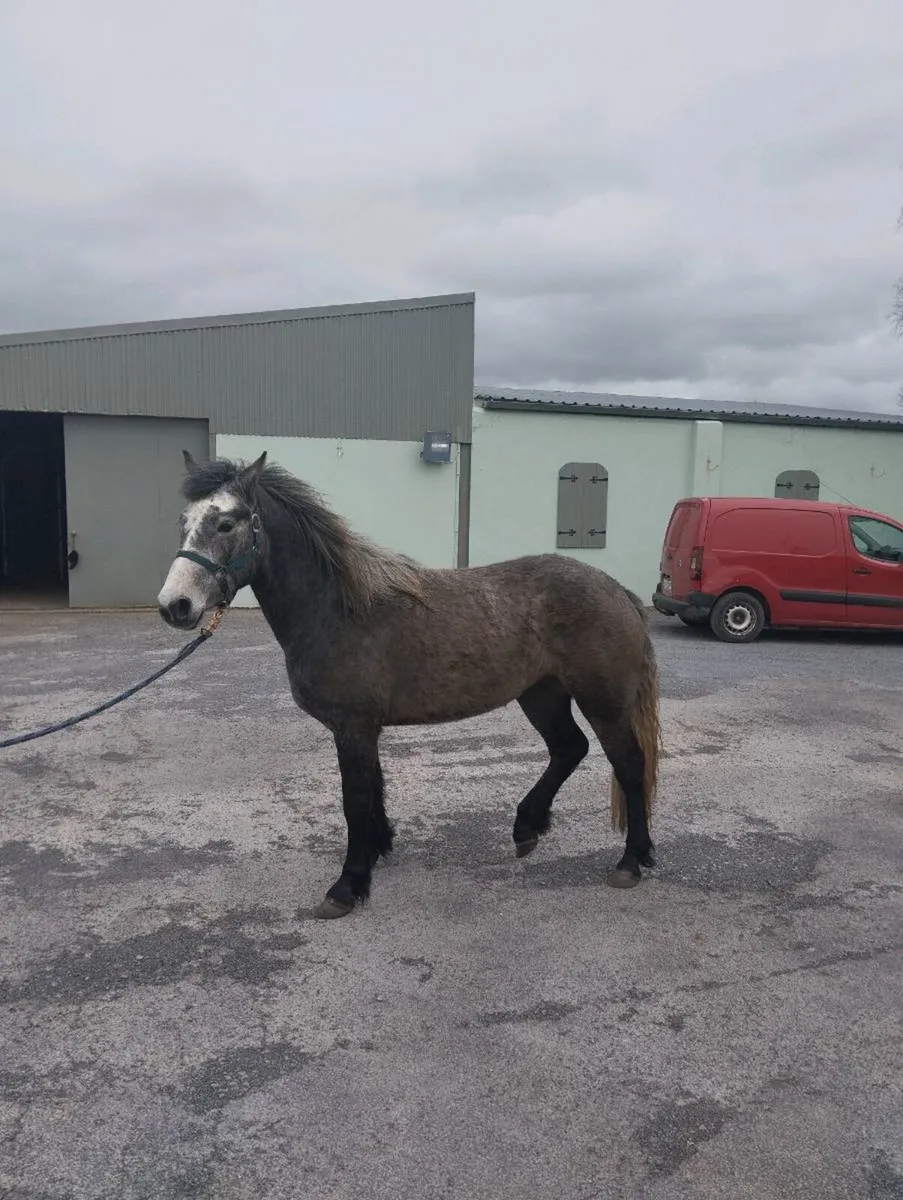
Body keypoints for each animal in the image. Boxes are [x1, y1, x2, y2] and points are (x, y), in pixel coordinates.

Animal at [157, 451, 662, 919]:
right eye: (183, 521)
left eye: (225, 523)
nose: (174, 606)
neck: (338, 609)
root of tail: (617, 590)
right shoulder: (364, 729)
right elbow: (373, 791)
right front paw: (377, 851)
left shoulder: (354, 726)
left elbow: (355, 800)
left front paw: (347, 886)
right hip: (542, 694)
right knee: (569, 748)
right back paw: (527, 827)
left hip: (603, 702)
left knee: (628, 765)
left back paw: (630, 861)